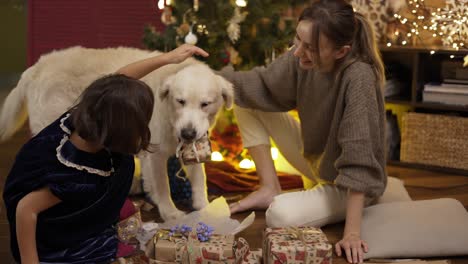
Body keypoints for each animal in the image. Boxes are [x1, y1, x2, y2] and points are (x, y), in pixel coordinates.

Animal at [0, 46, 234, 221]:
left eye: (205, 104)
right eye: (181, 101)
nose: (187, 133)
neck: (170, 116)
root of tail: (36, 67)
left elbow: (199, 178)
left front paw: (205, 208)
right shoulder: (155, 155)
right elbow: (162, 186)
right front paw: (171, 213)